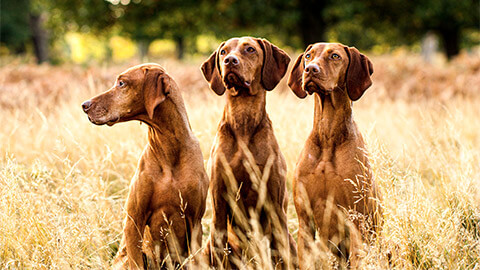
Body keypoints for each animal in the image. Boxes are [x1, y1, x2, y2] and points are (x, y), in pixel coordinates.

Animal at [81, 63, 208, 268]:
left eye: (121, 83)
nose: (84, 105)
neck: (169, 149)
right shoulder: (134, 220)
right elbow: (136, 263)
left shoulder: (195, 222)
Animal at [202, 37, 296, 268]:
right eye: (223, 52)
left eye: (250, 49)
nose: (229, 60)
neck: (243, 120)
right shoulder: (219, 202)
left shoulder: (275, 205)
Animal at [288, 43, 382, 266]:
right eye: (308, 56)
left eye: (335, 56)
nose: (310, 69)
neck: (328, 137)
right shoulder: (305, 221)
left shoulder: (357, 223)